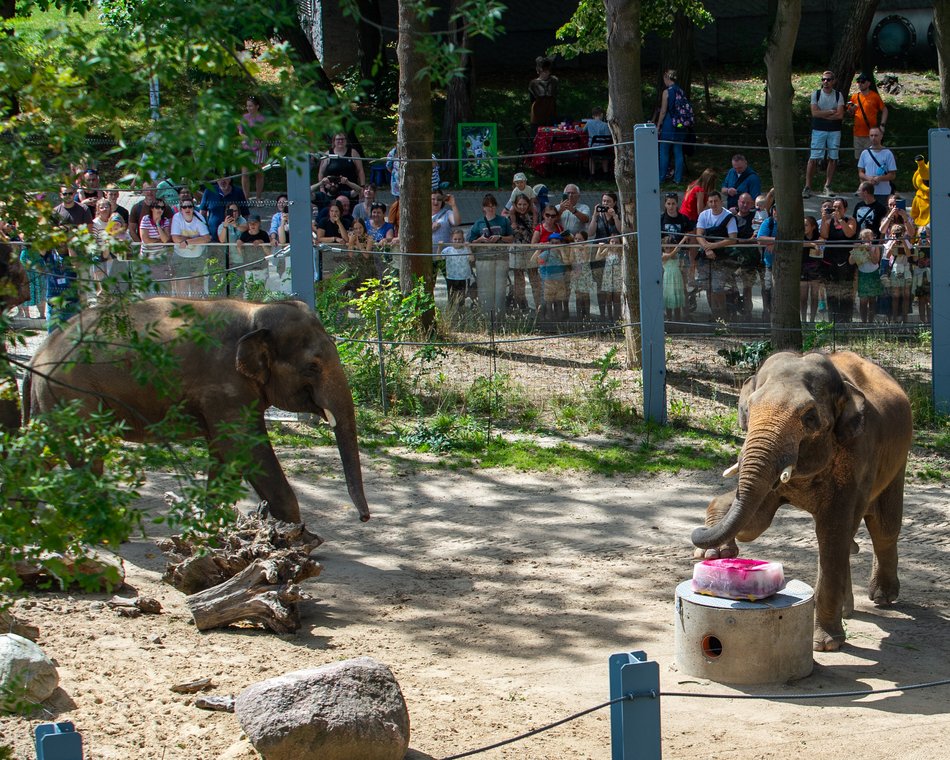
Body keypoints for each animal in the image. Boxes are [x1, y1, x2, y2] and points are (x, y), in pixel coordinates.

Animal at [24, 298, 370, 528]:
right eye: (313, 366)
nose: (364, 518)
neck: (254, 312)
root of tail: (38, 354)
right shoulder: (223, 383)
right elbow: (244, 447)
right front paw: (298, 536)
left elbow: (225, 452)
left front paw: (211, 525)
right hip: (72, 397)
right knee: (86, 457)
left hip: (55, 400)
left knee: (45, 450)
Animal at [692, 350, 916, 652]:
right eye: (749, 408)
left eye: (810, 416)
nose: (698, 533)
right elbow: (756, 523)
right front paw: (714, 555)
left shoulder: (857, 454)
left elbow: (833, 531)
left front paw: (825, 645)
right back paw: (849, 609)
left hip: (898, 460)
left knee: (883, 528)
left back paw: (882, 597)